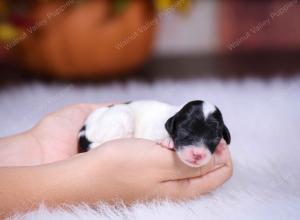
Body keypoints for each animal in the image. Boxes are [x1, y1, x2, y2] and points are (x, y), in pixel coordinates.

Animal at [78, 100, 231, 168]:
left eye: (215, 137)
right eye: (184, 131)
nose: (198, 154)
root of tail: (84, 128)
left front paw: (220, 145)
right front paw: (168, 140)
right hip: (121, 118)